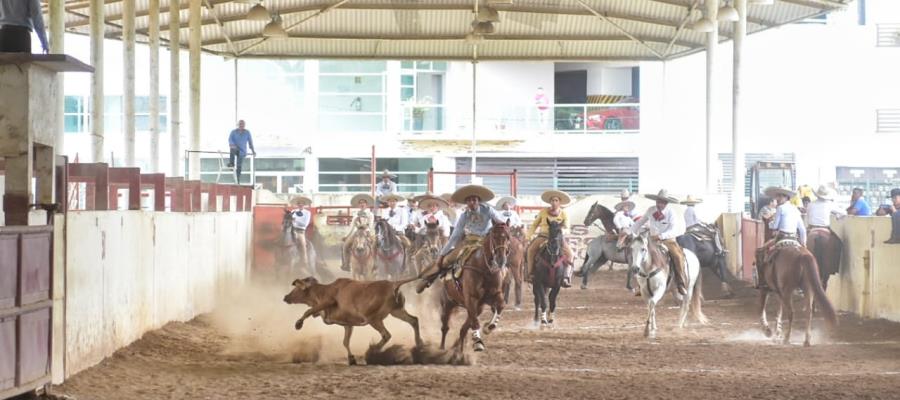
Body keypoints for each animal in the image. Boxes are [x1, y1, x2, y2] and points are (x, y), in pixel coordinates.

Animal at [282, 276, 422, 364]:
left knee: (386, 334)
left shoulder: (328, 301)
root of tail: (393, 284)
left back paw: (372, 351)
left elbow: (308, 311)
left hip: (373, 319)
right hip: (397, 311)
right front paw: (351, 359)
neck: (322, 291)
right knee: (414, 320)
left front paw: (298, 324)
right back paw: (419, 344)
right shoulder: (348, 324)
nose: (285, 297)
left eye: (295, 288)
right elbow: (345, 342)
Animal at [438, 223, 510, 352]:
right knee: (445, 327)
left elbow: (501, 305)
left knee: (463, 329)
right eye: (494, 237)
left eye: (508, 237)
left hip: (477, 308)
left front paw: (489, 327)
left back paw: (459, 351)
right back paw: (442, 348)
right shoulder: (471, 298)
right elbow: (475, 323)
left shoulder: (493, 295)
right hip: (448, 303)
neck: (484, 268)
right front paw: (478, 342)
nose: (501, 259)